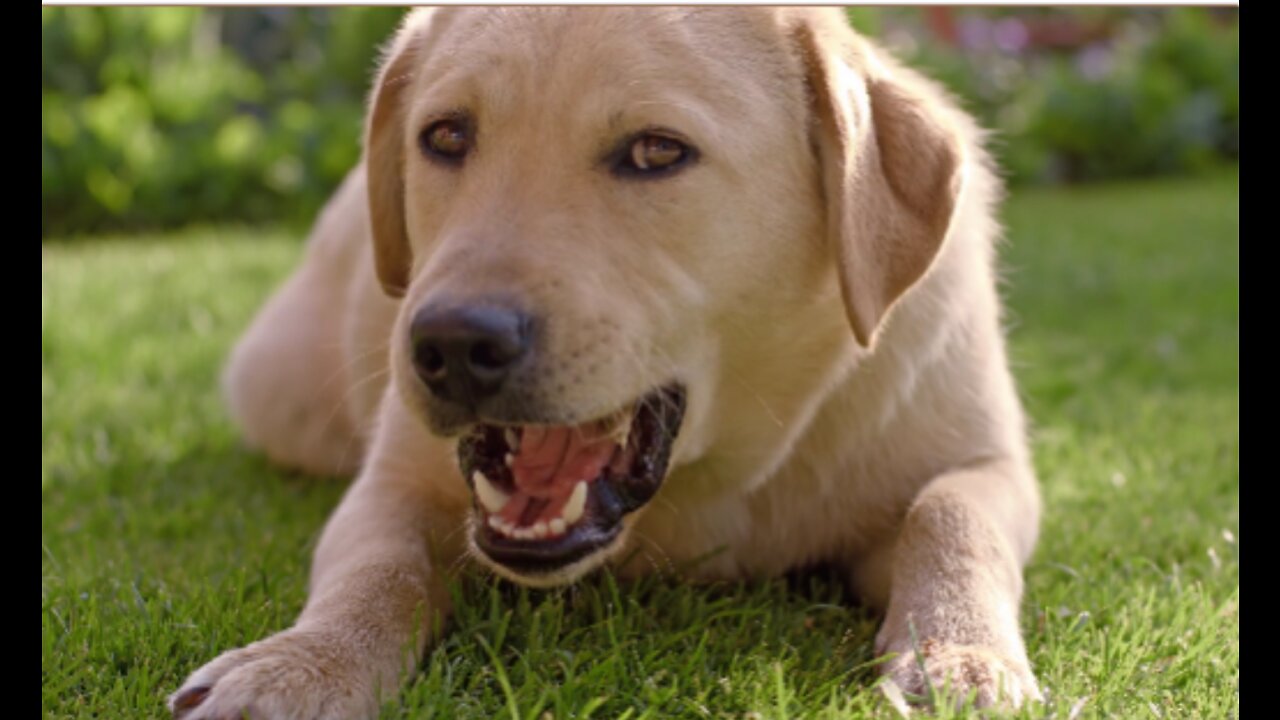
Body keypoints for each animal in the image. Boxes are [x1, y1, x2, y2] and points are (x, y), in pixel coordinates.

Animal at [170, 8, 1044, 712]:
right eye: (446, 136)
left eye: (657, 152)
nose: (450, 344)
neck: (718, 479)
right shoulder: (392, 485)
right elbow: (376, 569)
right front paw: (301, 663)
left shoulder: (987, 464)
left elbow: (948, 516)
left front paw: (960, 658)